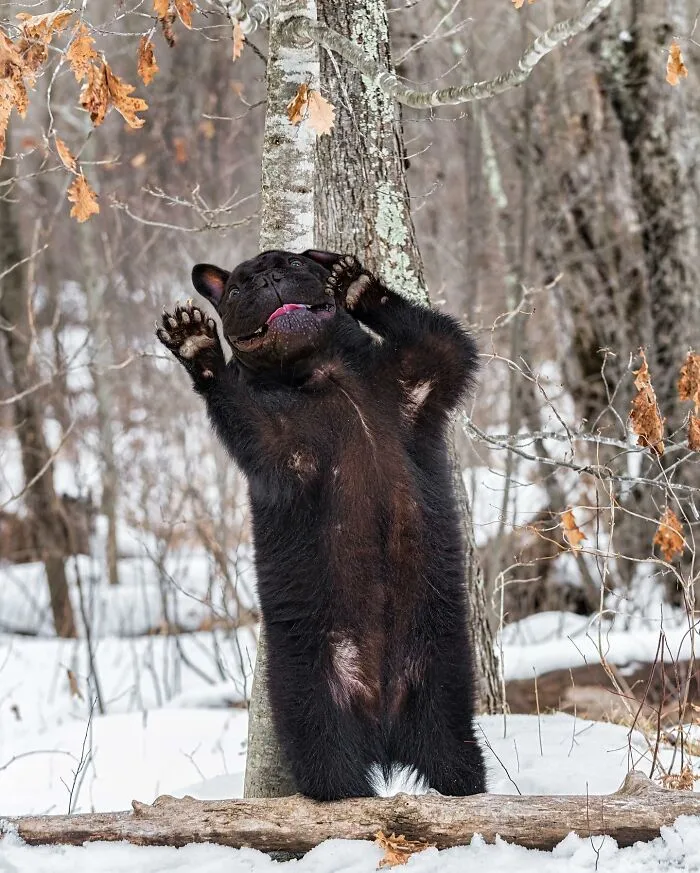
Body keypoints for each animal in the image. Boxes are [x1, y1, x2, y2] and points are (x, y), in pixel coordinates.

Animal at [156, 249, 486, 800]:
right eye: (238, 288)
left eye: (289, 263)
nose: (269, 278)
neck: (326, 373)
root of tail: (383, 728)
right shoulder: (291, 444)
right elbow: (258, 434)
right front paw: (192, 337)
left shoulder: (406, 388)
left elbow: (444, 346)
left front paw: (351, 281)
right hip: (310, 684)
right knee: (327, 757)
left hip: (442, 674)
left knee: (453, 748)